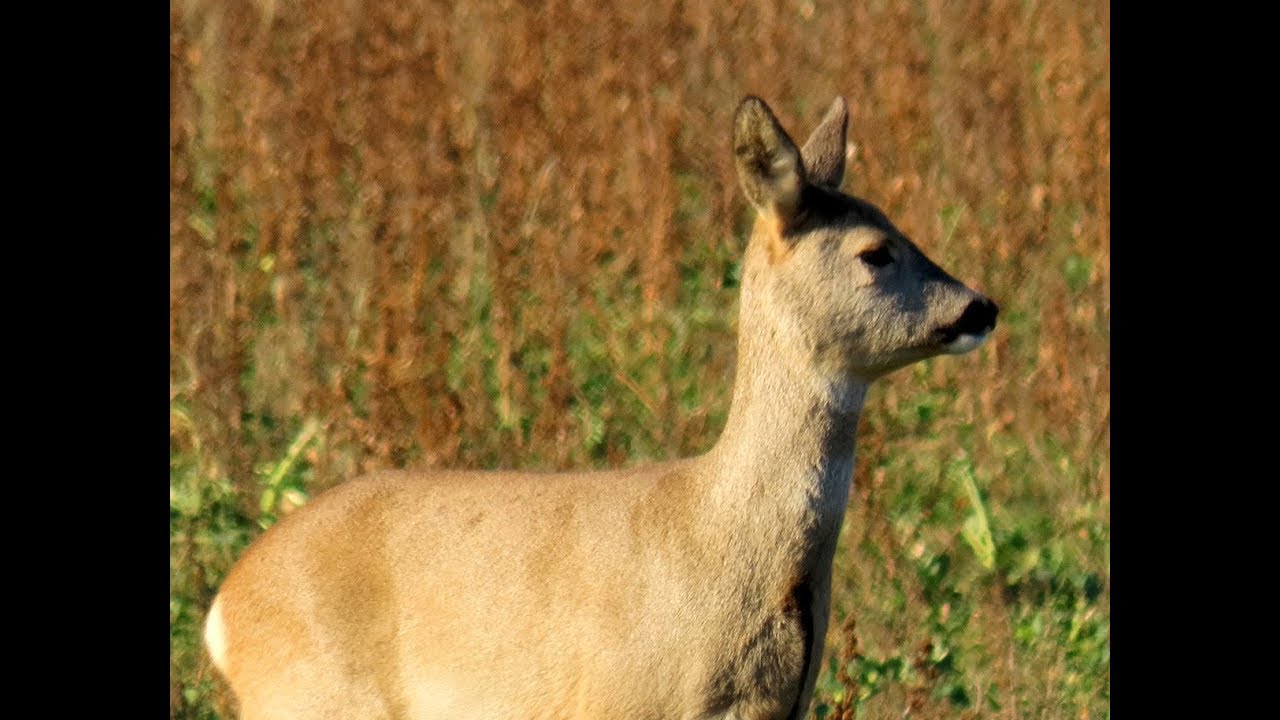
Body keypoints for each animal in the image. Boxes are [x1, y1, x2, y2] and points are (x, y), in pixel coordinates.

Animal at [204, 95, 998, 720]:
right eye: (875, 251)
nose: (980, 307)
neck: (720, 538)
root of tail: (222, 611)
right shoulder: (621, 698)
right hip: (311, 697)